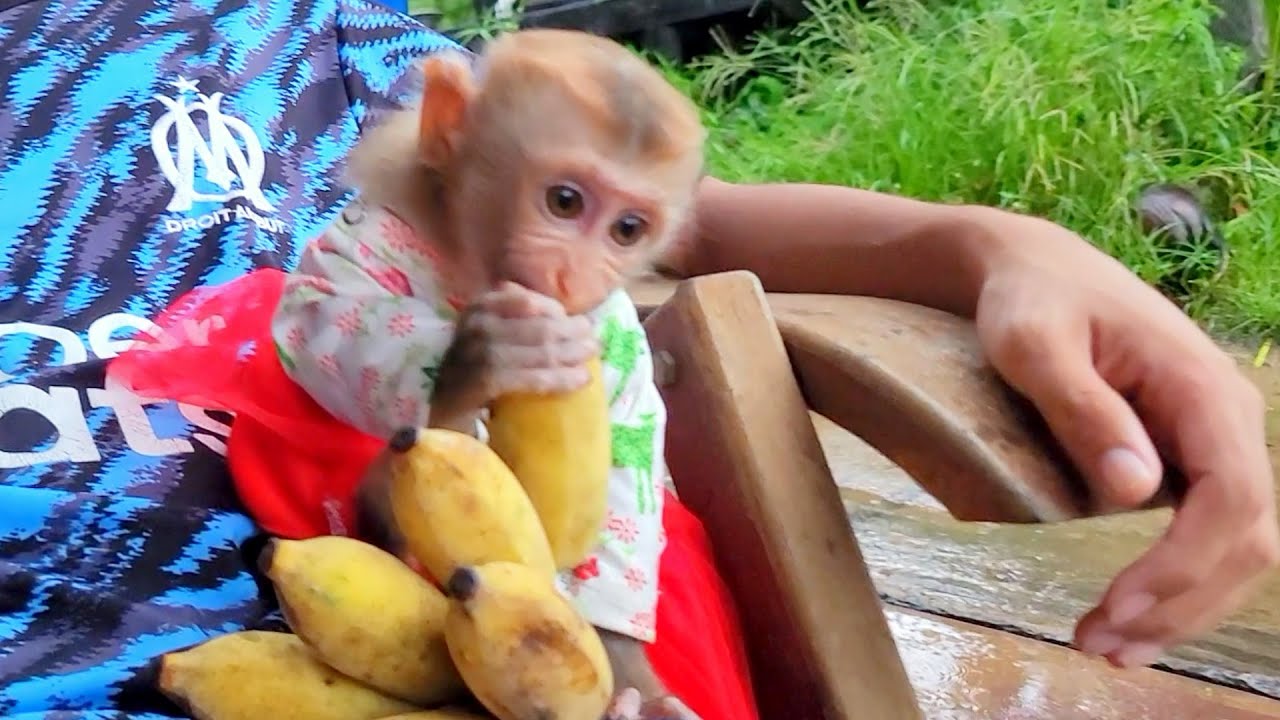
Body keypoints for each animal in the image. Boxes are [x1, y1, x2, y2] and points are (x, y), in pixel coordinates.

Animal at [266, 29, 708, 720]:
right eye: (564, 202)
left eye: (627, 230)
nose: (572, 278)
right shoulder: (369, 233)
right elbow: (315, 320)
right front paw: (480, 358)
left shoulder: (613, 324)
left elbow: (631, 456)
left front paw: (639, 689)